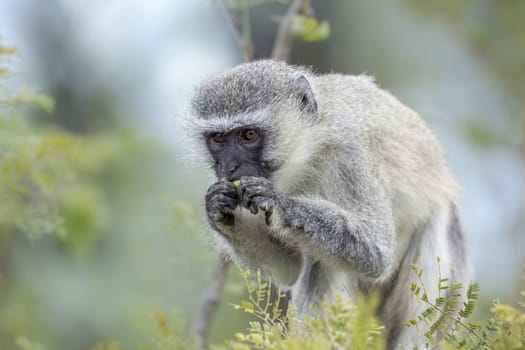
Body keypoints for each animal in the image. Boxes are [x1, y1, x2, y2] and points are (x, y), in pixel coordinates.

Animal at [188, 60, 470, 348]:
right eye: (219, 139)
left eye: (248, 134)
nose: (229, 167)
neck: (308, 150)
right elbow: (289, 268)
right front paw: (216, 207)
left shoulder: (351, 155)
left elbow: (376, 255)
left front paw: (279, 204)